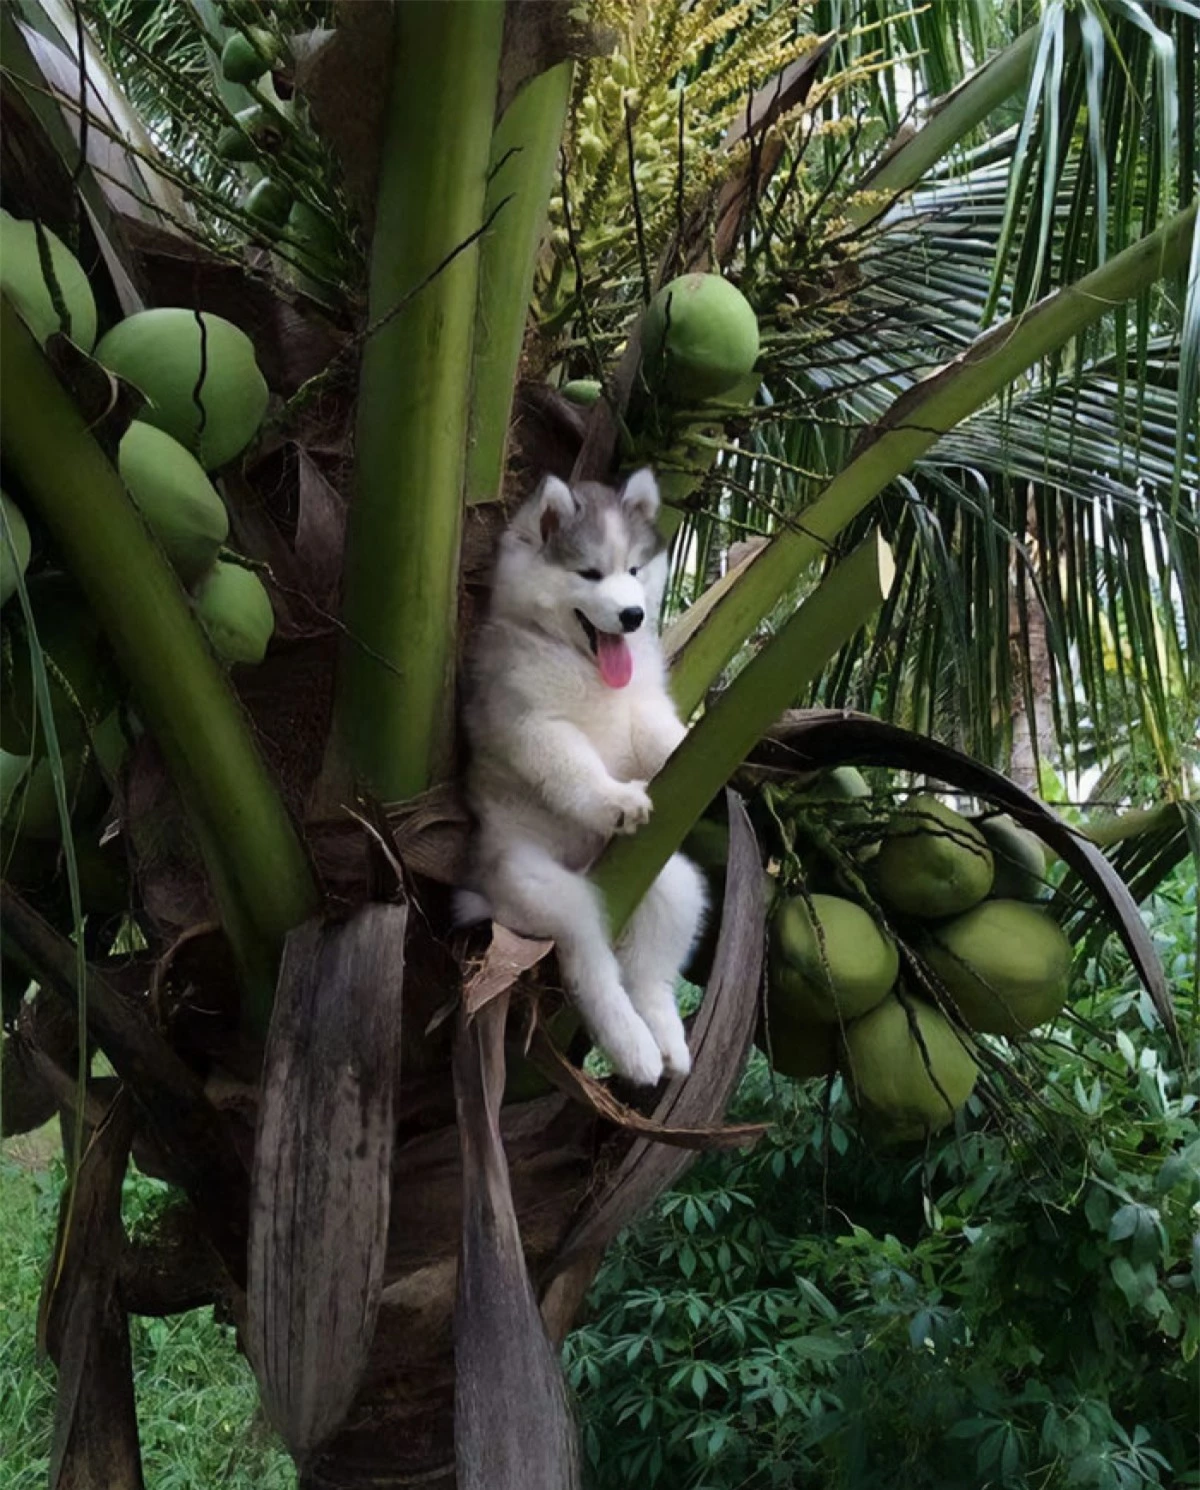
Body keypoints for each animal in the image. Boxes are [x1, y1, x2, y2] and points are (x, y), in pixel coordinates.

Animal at [459, 470, 703, 1090]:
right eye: (590, 573)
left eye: (634, 570)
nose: (633, 616)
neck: (585, 667)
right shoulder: (533, 724)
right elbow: (574, 765)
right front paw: (613, 798)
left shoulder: (642, 709)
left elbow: (662, 738)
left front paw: (697, 742)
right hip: (542, 888)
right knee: (591, 965)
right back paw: (633, 1047)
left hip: (671, 882)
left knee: (649, 971)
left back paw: (666, 1040)